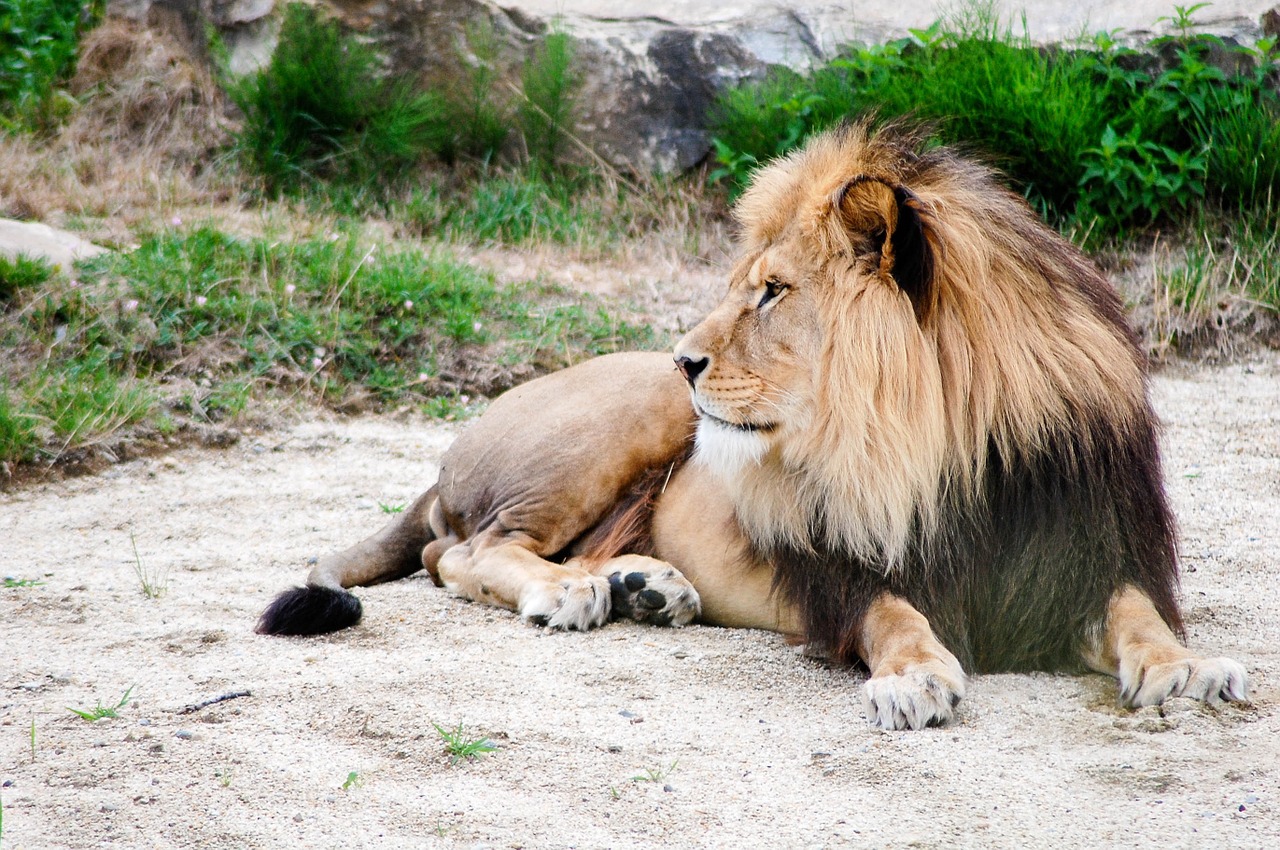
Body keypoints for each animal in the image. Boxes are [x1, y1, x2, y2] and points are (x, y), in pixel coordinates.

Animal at [259, 119, 1249, 732]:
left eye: (771, 291)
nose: (683, 358)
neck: (944, 445)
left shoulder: (1077, 552)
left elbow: (1137, 611)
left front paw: (1188, 668)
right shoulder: (839, 571)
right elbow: (893, 613)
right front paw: (914, 678)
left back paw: (644, 586)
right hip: (620, 424)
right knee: (459, 552)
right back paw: (570, 592)